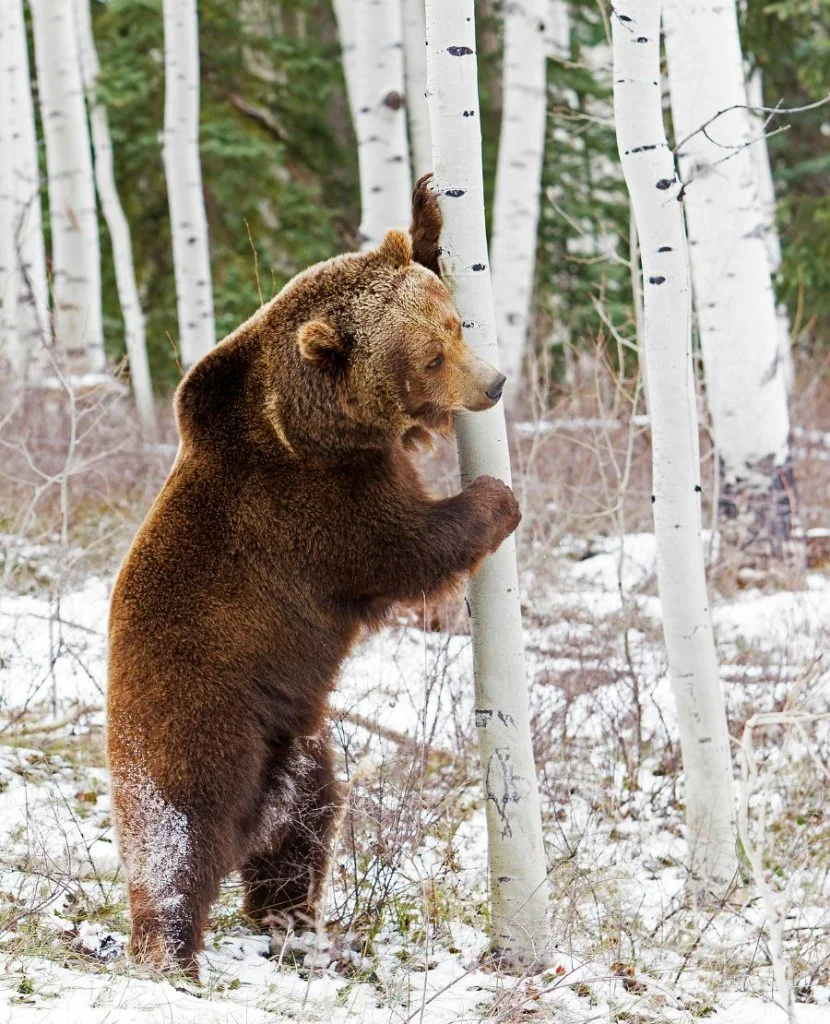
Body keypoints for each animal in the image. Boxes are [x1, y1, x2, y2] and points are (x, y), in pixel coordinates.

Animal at [103, 176, 519, 974]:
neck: (316, 422)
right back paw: (169, 948)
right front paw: (496, 500)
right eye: (431, 356)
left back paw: (295, 924)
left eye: (454, 325)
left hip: (294, 751)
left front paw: (427, 213)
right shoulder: (312, 509)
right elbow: (405, 549)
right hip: (197, 714)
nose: (495, 382)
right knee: (176, 834)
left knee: (304, 825)